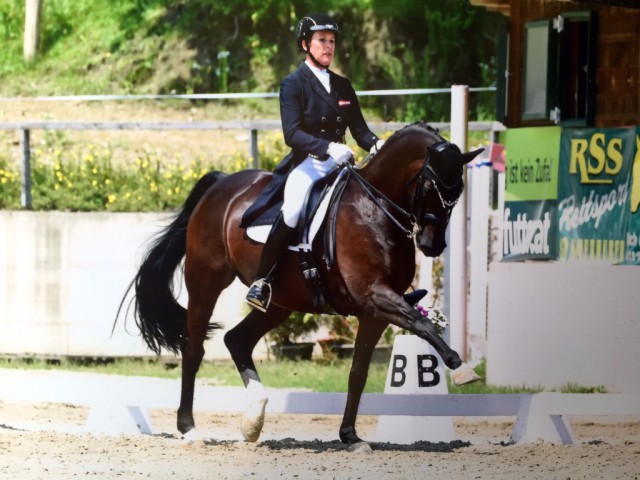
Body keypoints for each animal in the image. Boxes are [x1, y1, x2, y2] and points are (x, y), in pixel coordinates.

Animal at [116, 121, 483, 449]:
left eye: (458, 192)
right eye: (432, 186)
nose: (432, 245)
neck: (373, 208)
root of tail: (221, 184)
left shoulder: (374, 312)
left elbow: (358, 372)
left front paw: (350, 437)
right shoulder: (375, 296)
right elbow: (422, 323)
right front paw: (462, 369)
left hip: (280, 302)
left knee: (237, 340)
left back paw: (253, 422)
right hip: (205, 281)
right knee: (194, 348)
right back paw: (190, 429)